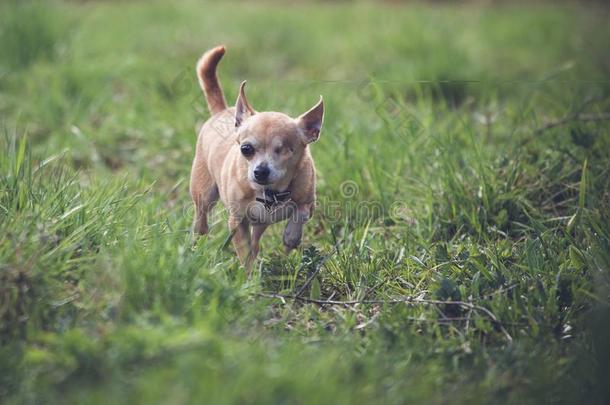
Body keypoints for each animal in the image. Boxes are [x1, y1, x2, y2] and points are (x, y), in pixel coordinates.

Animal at [189, 45, 324, 270]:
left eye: (285, 150)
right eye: (246, 149)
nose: (260, 171)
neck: (271, 193)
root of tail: (221, 111)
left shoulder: (308, 203)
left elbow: (300, 213)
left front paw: (291, 236)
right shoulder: (237, 221)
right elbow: (244, 253)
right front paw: (248, 274)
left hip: (261, 223)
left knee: (256, 241)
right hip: (204, 197)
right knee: (202, 222)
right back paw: (196, 246)